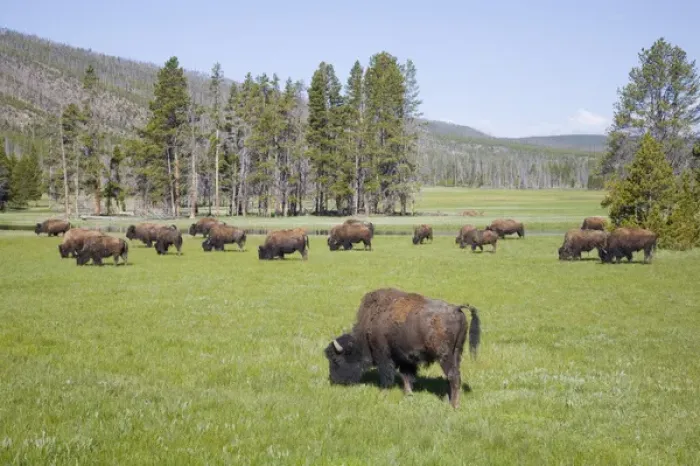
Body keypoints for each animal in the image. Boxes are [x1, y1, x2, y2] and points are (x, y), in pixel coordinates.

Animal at [324, 288, 481, 409]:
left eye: (336, 360)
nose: (334, 381)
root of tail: (456, 308)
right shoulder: (406, 358)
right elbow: (406, 375)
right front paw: (408, 393)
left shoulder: (384, 356)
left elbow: (388, 375)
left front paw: (383, 393)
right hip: (456, 354)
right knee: (453, 376)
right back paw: (448, 399)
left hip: (444, 356)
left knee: (453, 376)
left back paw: (454, 405)